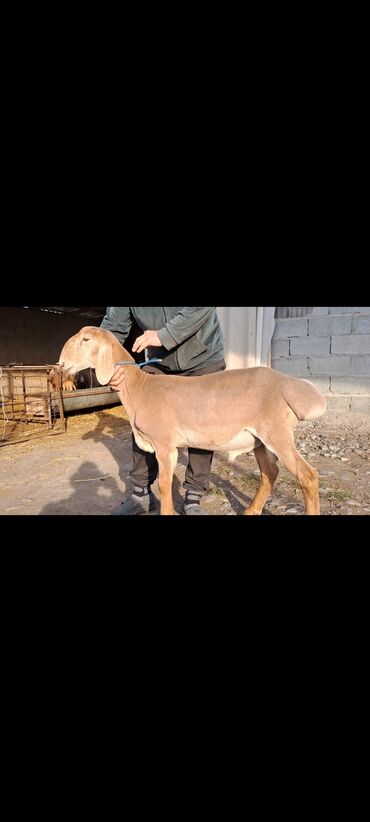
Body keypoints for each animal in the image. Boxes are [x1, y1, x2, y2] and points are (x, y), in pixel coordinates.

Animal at [59, 326, 328, 516]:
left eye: (86, 340)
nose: (61, 363)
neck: (140, 388)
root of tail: (289, 385)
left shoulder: (165, 443)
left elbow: (164, 484)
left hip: (276, 432)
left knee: (308, 476)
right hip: (259, 439)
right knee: (270, 472)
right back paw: (251, 510)